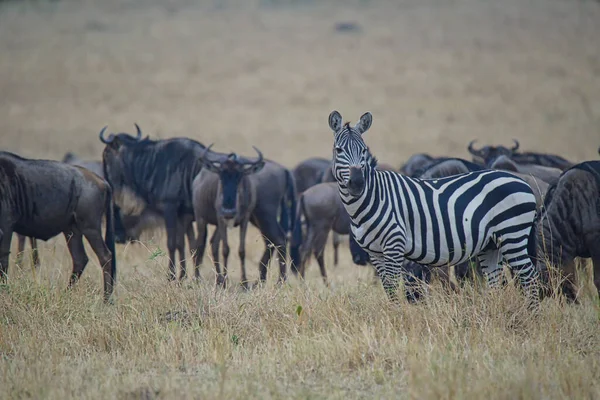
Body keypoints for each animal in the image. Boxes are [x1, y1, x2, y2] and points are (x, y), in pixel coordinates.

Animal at [330, 109, 540, 306]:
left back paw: (531, 314)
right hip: (491, 245)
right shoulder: (375, 252)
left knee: (530, 278)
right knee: (496, 283)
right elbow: (388, 288)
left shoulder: (394, 246)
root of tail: (522, 181)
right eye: (338, 150)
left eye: (363, 150)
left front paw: (397, 316)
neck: (373, 198)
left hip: (512, 235)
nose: (357, 183)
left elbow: (393, 287)